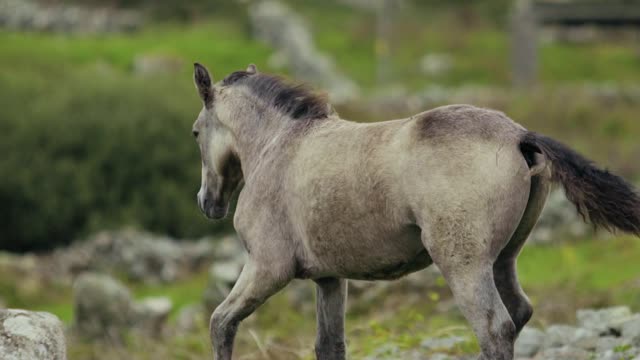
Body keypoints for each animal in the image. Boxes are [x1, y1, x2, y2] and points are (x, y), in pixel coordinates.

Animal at [190, 63, 640, 358]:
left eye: (195, 132)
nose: (206, 203)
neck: (280, 146)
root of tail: (518, 136)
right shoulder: (330, 278)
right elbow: (329, 345)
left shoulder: (267, 267)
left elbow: (220, 323)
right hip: (503, 259)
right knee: (518, 313)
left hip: (463, 264)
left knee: (494, 328)